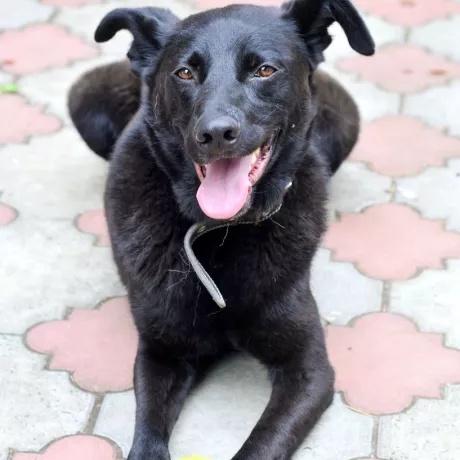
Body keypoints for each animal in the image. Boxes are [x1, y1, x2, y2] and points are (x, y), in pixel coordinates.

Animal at [68, 0, 374, 458]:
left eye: (264, 70)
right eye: (184, 73)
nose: (215, 133)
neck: (219, 231)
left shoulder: (308, 369)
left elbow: (260, 445)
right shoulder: (161, 353)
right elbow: (147, 436)